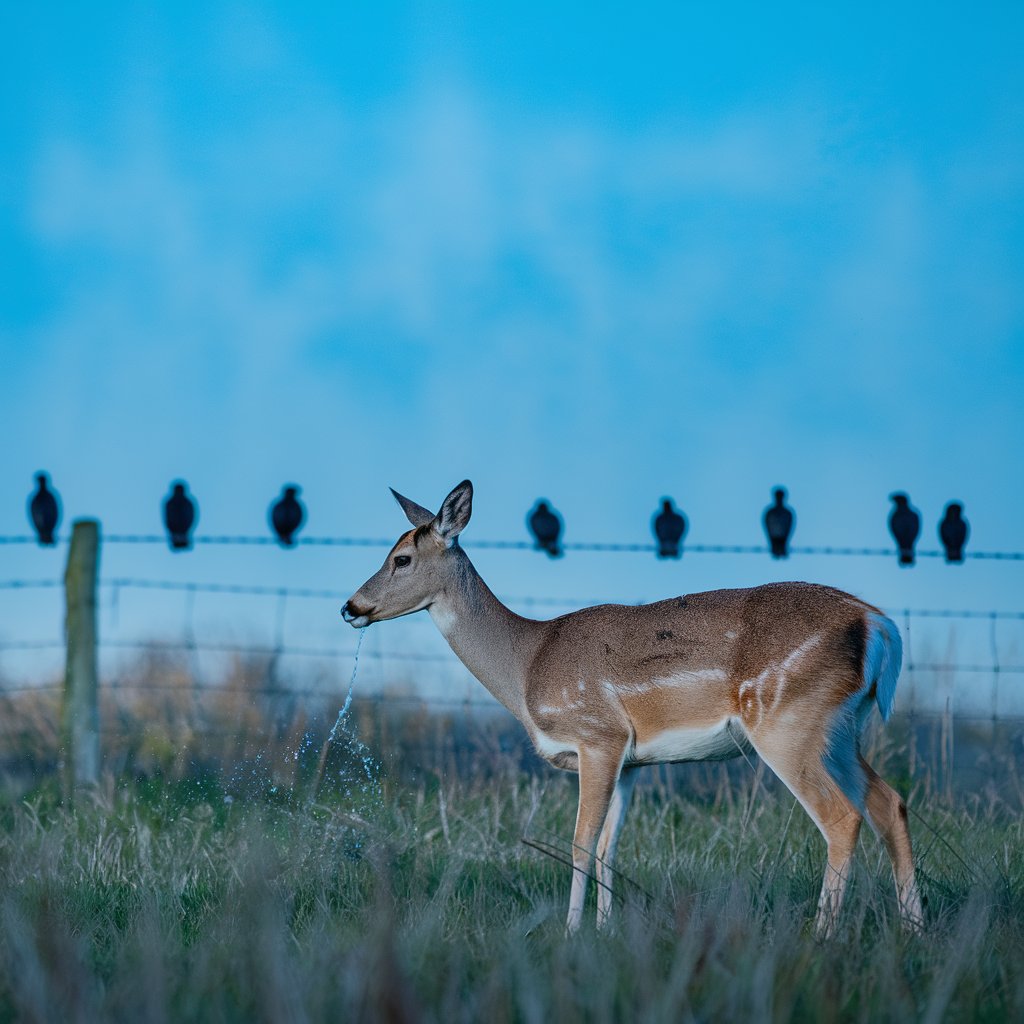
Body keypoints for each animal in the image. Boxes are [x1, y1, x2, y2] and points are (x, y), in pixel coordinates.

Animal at [339, 479, 925, 937]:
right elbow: (608, 847)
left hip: (787, 720)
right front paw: (604, 931)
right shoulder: (631, 760)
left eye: (401, 559)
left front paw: (571, 935)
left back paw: (822, 937)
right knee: (890, 802)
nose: (350, 607)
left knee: (842, 817)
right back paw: (914, 930)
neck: (526, 665)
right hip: (841, 728)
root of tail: (879, 625)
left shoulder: (597, 734)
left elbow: (579, 843)